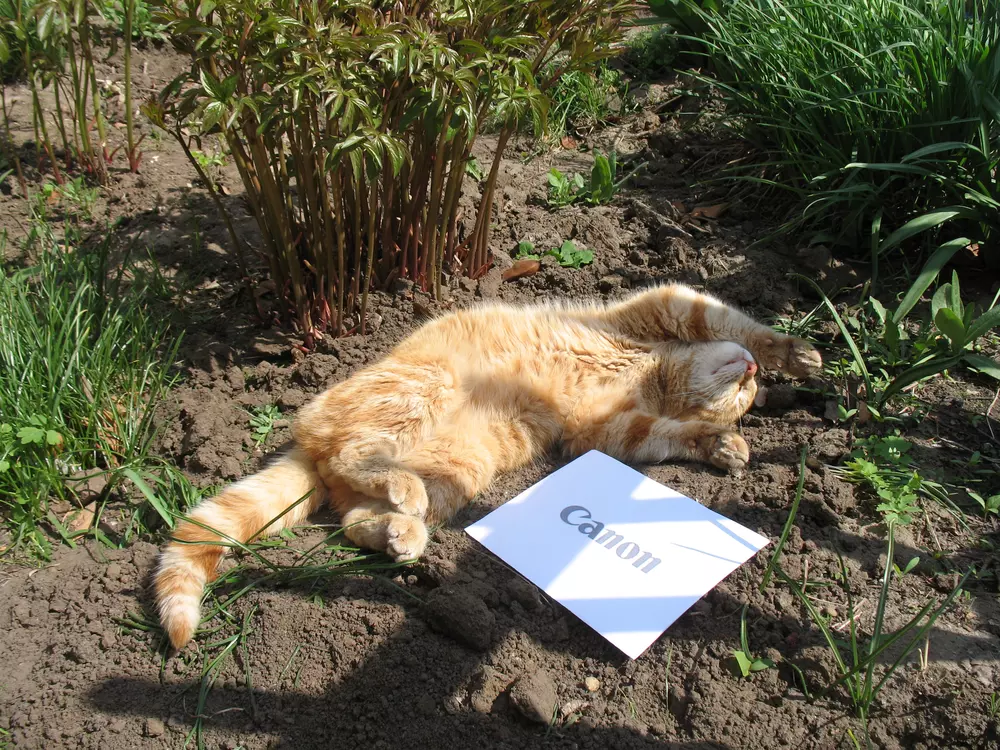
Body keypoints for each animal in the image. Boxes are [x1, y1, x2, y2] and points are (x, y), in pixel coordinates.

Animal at [153, 282, 822, 650]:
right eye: (745, 393)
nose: (752, 377)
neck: (652, 372)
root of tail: (309, 443)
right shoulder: (663, 310)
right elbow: (733, 321)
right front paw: (792, 352)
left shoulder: (608, 431)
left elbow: (666, 435)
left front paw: (719, 443)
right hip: (423, 391)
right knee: (355, 456)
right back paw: (398, 498)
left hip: (461, 467)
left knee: (354, 516)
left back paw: (401, 531)